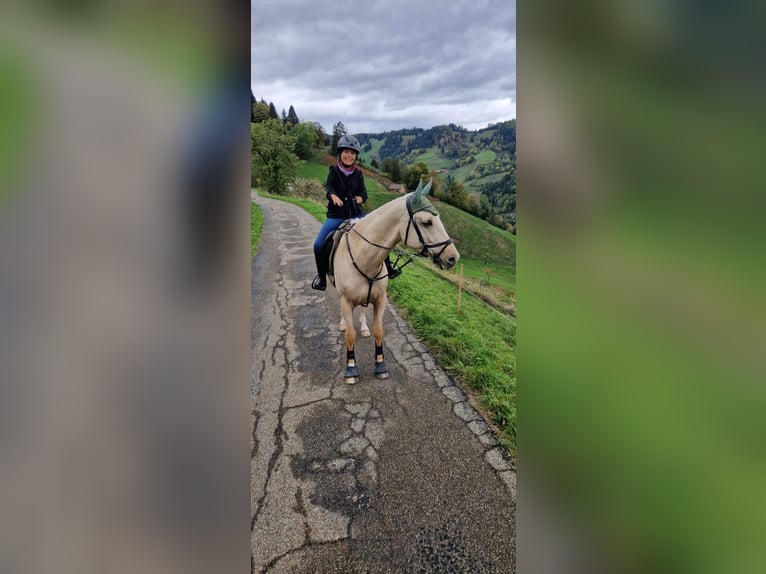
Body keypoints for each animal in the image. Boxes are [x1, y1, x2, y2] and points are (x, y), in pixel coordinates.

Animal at [328, 179, 460, 388]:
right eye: (427, 222)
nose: (453, 258)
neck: (364, 256)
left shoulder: (381, 300)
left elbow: (379, 331)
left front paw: (380, 366)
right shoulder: (347, 301)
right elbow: (350, 335)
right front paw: (351, 370)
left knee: (363, 309)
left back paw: (363, 327)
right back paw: (343, 324)